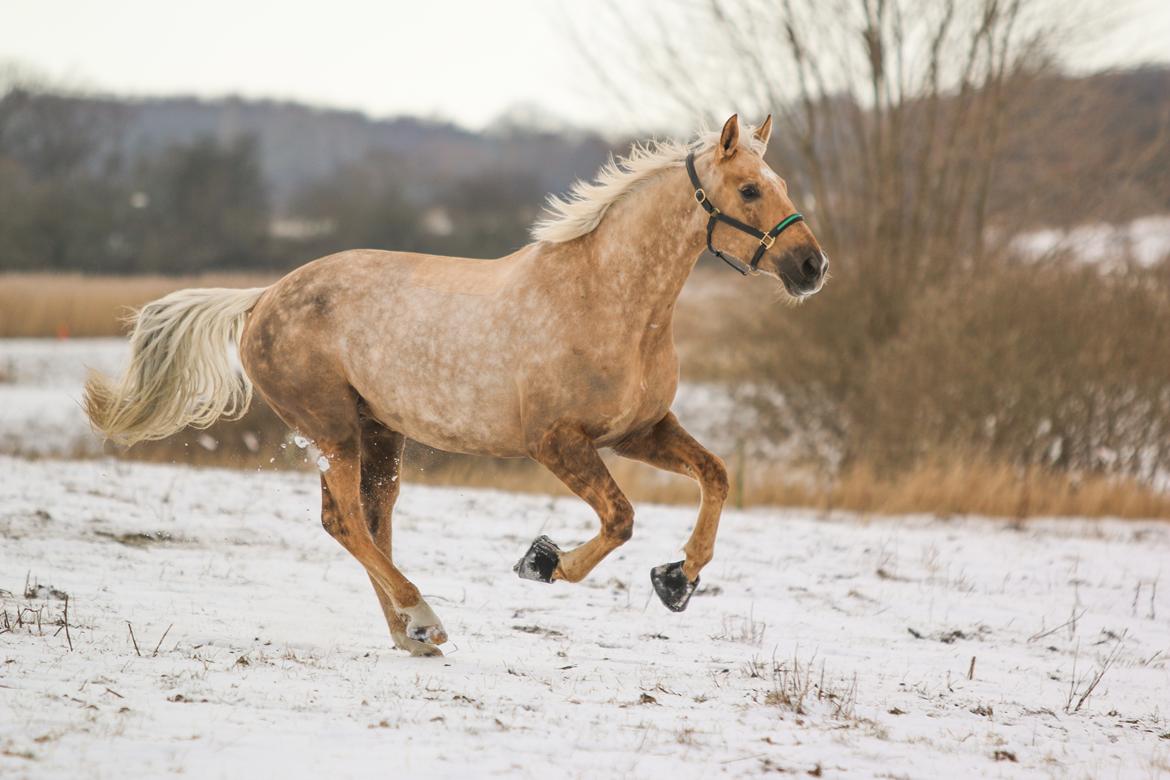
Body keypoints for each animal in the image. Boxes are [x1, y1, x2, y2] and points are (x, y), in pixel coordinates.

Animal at [86, 114, 828, 654]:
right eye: (751, 190)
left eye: (783, 184)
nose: (812, 267)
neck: (607, 301)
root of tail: (263, 297)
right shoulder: (556, 442)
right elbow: (620, 519)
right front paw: (542, 562)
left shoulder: (640, 431)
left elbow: (716, 476)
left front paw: (677, 580)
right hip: (331, 430)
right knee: (344, 520)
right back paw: (423, 616)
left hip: (380, 435)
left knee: (372, 520)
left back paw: (410, 633)